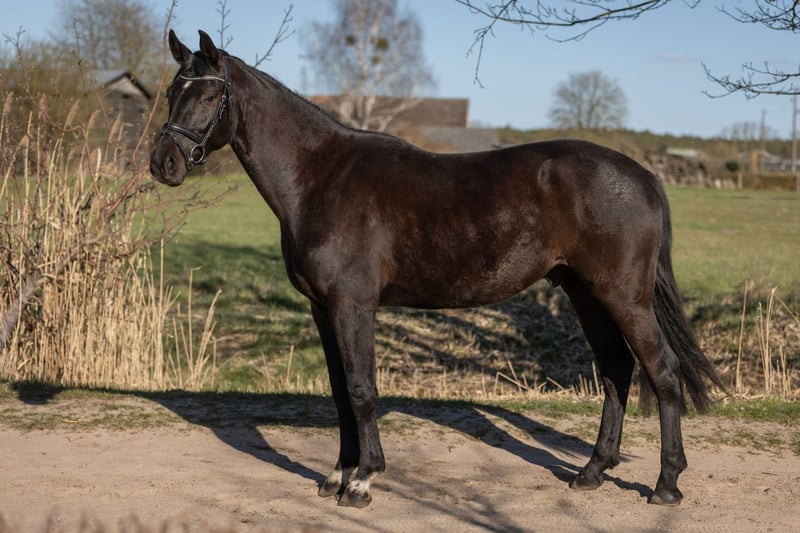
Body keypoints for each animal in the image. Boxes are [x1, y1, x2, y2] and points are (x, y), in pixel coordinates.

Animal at [150, 30, 724, 509]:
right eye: (172, 91)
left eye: (208, 96)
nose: (163, 164)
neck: (319, 177)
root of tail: (643, 175)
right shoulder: (321, 309)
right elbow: (339, 392)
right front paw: (337, 474)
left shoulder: (353, 306)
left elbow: (361, 391)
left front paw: (363, 480)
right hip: (585, 293)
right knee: (616, 371)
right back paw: (591, 472)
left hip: (624, 296)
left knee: (662, 371)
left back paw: (666, 485)